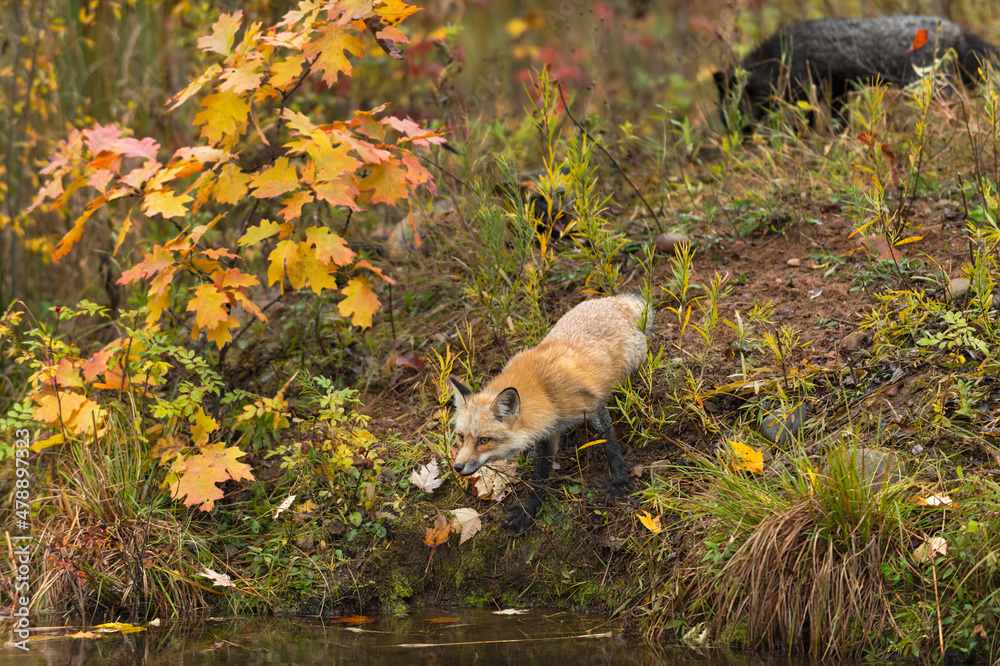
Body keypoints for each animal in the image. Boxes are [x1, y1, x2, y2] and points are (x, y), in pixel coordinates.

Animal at [449, 293, 654, 534]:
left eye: (484, 440)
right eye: (461, 437)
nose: (457, 467)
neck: (545, 389)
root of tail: (615, 300)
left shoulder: (594, 408)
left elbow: (610, 446)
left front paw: (619, 481)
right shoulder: (546, 432)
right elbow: (540, 475)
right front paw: (529, 510)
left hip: (633, 366)